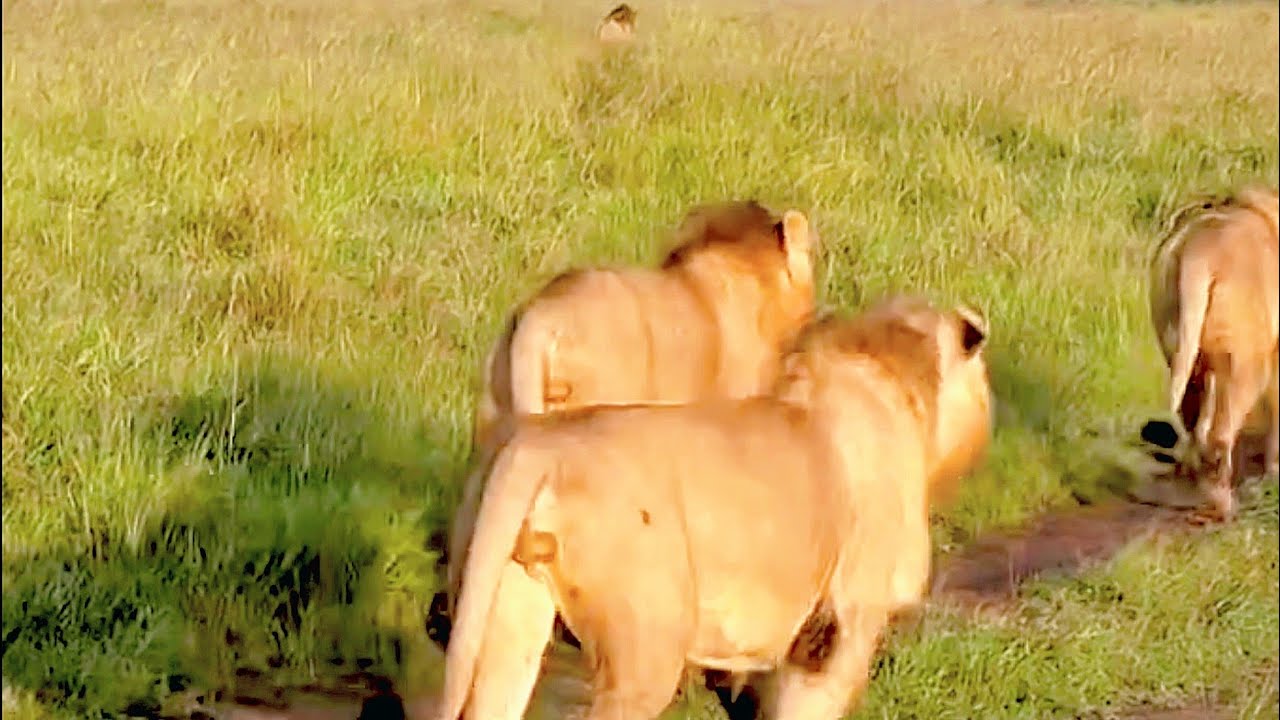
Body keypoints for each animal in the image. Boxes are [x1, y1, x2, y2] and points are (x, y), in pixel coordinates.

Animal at [1145, 184, 1279, 520]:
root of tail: (1199, 253)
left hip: (1183, 347)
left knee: (1195, 424)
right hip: (1248, 365)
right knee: (1220, 433)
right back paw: (1223, 507)